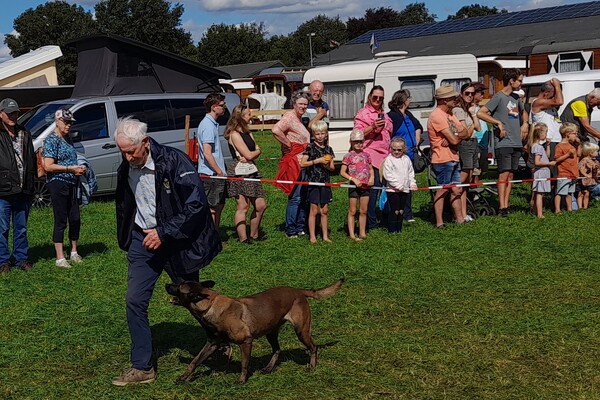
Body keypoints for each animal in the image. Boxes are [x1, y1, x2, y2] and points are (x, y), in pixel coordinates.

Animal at [165, 278, 342, 384]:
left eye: (179, 286)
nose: (166, 284)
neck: (210, 305)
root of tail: (298, 290)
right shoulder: (212, 344)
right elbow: (194, 361)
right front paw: (183, 377)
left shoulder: (245, 341)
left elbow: (244, 363)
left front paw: (242, 380)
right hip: (271, 333)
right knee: (277, 350)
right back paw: (269, 368)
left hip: (301, 331)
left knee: (313, 347)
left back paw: (312, 366)